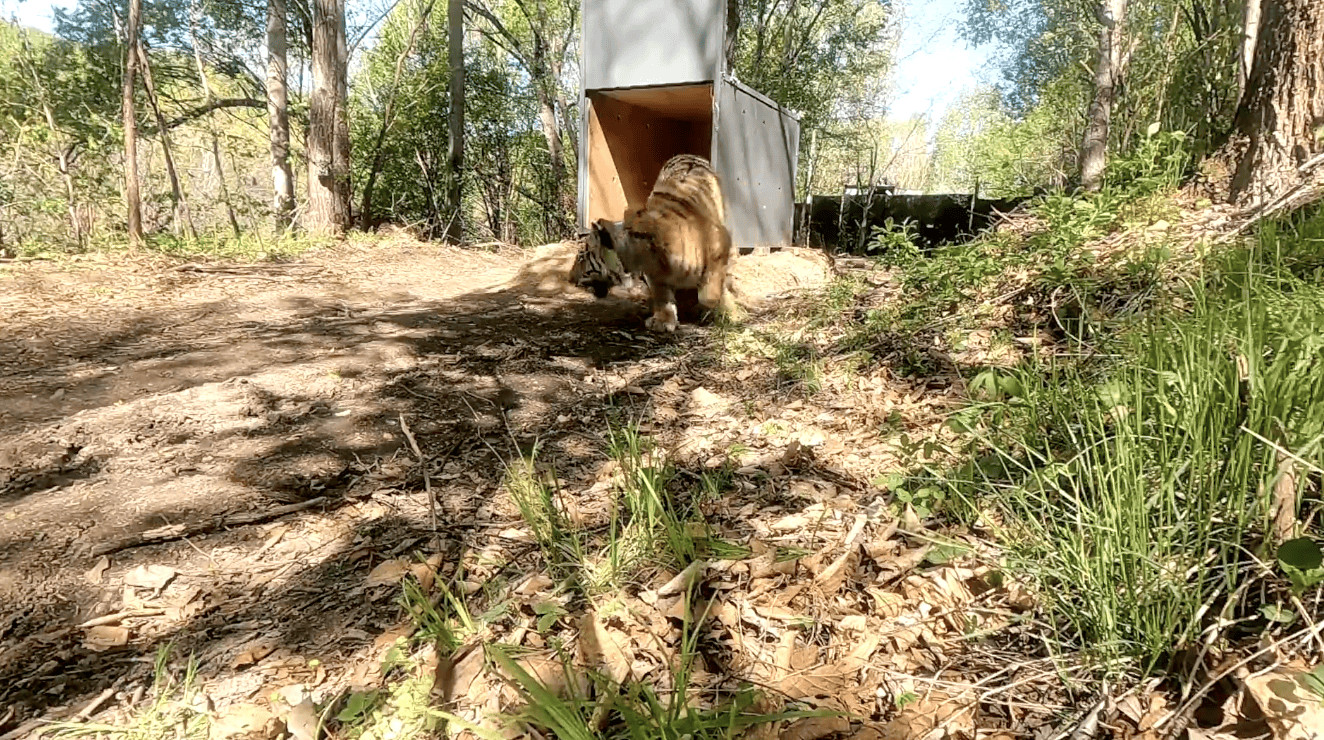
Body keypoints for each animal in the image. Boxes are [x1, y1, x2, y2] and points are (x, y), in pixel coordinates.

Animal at [572, 153, 735, 333]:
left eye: (582, 258)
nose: (570, 280)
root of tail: (688, 155)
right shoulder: (655, 276)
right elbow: (662, 296)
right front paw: (663, 320)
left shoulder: (720, 243)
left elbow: (709, 292)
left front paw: (717, 309)